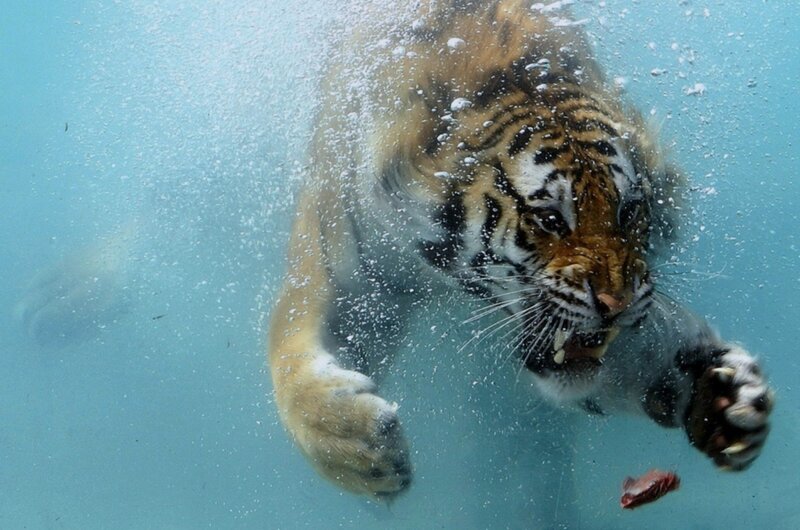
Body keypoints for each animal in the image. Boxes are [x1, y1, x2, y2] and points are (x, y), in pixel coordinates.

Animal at [268, 0, 773, 499]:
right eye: (550, 219)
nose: (617, 304)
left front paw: (723, 396)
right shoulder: (350, 277)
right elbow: (289, 355)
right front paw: (359, 445)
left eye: (628, 211)